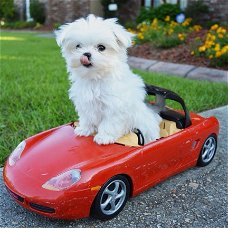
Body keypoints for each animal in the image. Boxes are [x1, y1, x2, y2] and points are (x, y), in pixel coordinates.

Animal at [55, 14, 160, 144]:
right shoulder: (85, 102)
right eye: (78, 46)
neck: (96, 78)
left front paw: (104, 137)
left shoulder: (114, 106)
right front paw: (85, 129)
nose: (86, 54)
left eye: (101, 47)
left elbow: (110, 123)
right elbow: (86, 117)